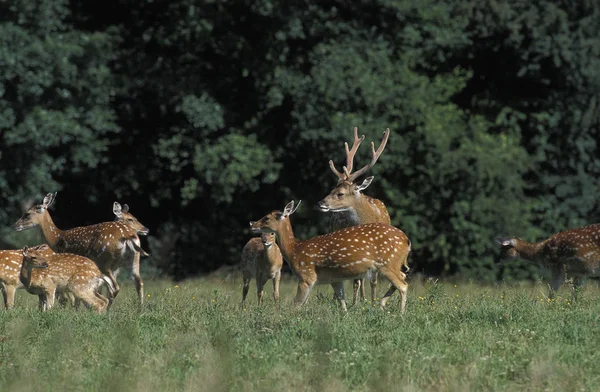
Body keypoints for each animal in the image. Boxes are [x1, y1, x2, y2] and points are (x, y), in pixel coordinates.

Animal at [12, 192, 146, 304]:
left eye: (27, 214)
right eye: (131, 219)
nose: (15, 225)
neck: (57, 238)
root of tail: (127, 235)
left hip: (105, 261)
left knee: (115, 287)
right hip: (133, 260)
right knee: (138, 283)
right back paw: (140, 309)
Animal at [247, 202, 408, 312]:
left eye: (266, 218)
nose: (252, 224)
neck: (294, 250)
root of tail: (406, 241)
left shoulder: (306, 276)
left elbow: (296, 305)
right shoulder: (335, 279)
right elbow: (342, 304)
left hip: (387, 263)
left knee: (403, 285)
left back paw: (400, 313)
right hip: (391, 264)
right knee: (402, 277)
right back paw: (381, 305)